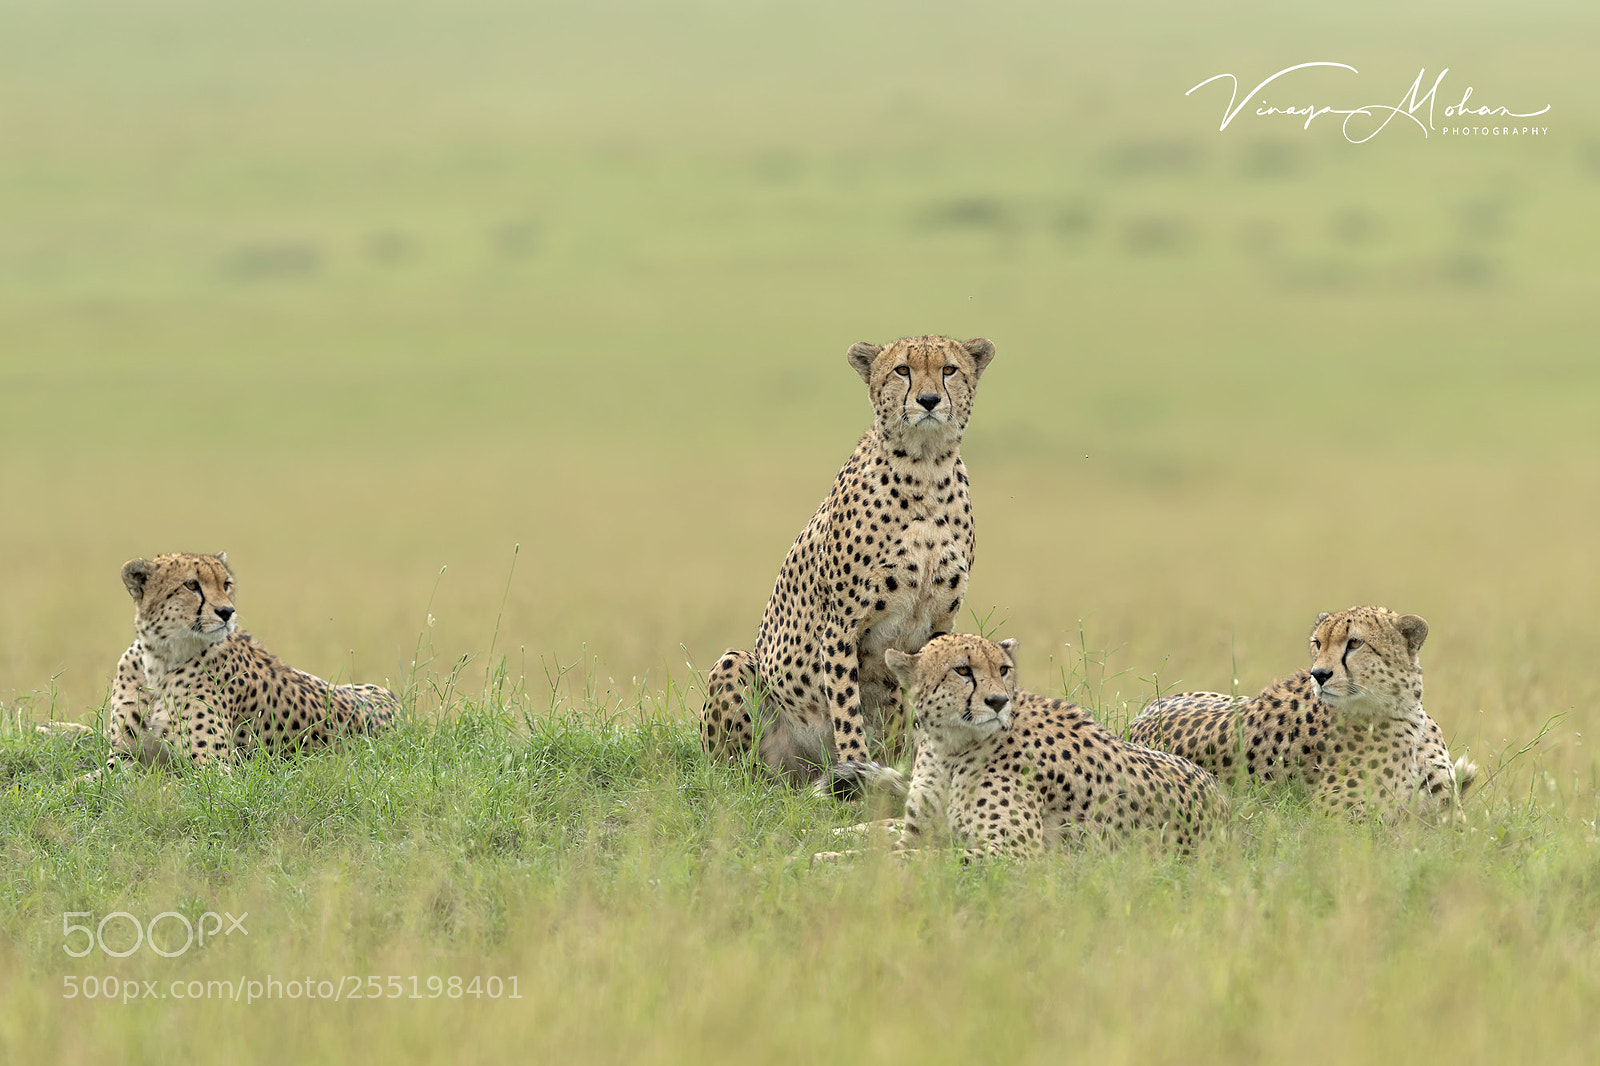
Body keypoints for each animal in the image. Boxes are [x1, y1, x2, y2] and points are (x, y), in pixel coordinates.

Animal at [82, 552, 400, 776]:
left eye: (226, 584)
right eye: (191, 584)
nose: (227, 611)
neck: (160, 659)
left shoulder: (214, 768)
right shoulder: (123, 757)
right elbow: (87, 783)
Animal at [700, 335, 996, 797]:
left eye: (949, 369)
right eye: (902, 370)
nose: (929, 400)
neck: (925, 469)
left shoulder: (936, 628)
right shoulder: (840, 626)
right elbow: (845, 707)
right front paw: (858, 771)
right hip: (738, 670)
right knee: (735, 774)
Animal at [850, 634, 1227, 858]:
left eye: (1003, 669)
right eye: (962, 670)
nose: (998, 701)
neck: (950, 747)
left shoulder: (1012, 852)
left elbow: (926, 859)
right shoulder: (917, 832)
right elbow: (885, 852)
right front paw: (840, 859)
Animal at [1126, 606, 1477, 823]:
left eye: (1355, 643)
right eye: (1317, 643)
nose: (1318, 674)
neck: (1401, 710)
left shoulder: (1448, 816)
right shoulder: (1338, 819)